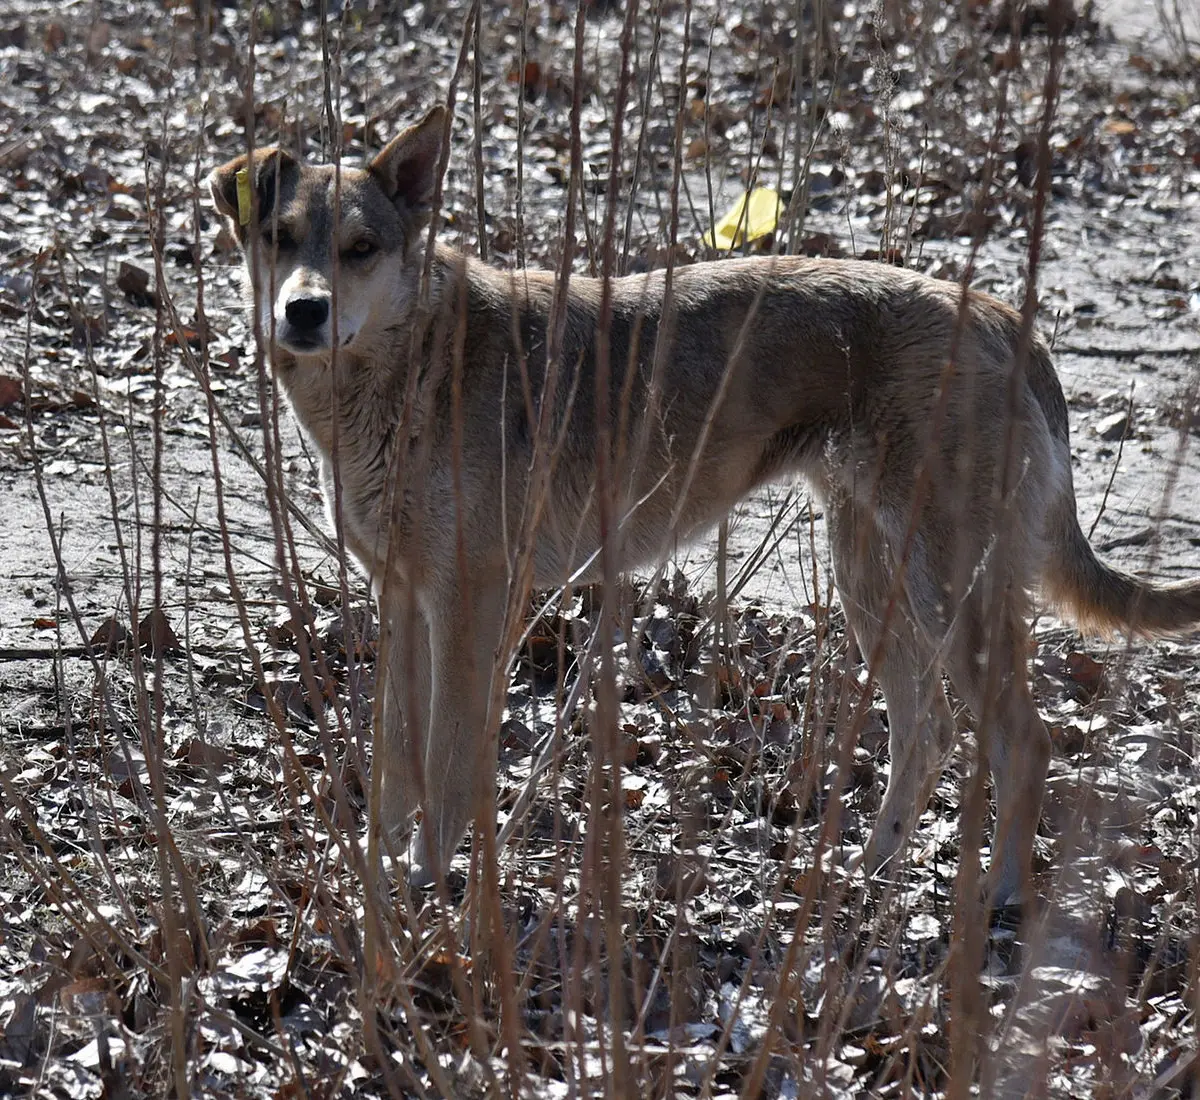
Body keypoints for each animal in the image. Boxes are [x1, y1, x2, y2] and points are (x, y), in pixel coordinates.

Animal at [211, 109, 1200, 902]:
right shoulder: (403, 600)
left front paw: (429, 897)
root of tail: (1003, 318)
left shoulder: (469, 604)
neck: (406, 372)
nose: (302, 313)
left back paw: (996, 903)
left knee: (1024, 745)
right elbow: (394, 766)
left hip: (950, 590)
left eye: (361, 248)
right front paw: (379, 890)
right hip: (875, 582)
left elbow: (449, 770)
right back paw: (863, 875)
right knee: (930, 735)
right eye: (280, 237)